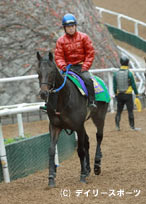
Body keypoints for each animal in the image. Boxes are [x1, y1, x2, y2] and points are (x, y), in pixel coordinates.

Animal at [36, 51, 109, 188]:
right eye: (38, 72)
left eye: (52, 72)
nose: (43, 93)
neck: (63, 100)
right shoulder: (55, 126)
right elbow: (51, 150)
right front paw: (51, 177)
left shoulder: (78, 126)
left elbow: (80, 150)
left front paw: (82, 176)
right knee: (87, 141)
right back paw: (88, 168)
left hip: (99, 116)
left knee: (99, 136)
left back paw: (97, 165)